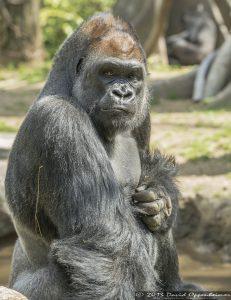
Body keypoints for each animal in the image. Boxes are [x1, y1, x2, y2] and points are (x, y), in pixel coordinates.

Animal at [5, 12, 197, 300]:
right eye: (107, 73)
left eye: (132, 76)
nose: (123, 93)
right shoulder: (60, 119)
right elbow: (107, 245)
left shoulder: (143, 113)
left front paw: (160, 196)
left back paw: (178, 287)